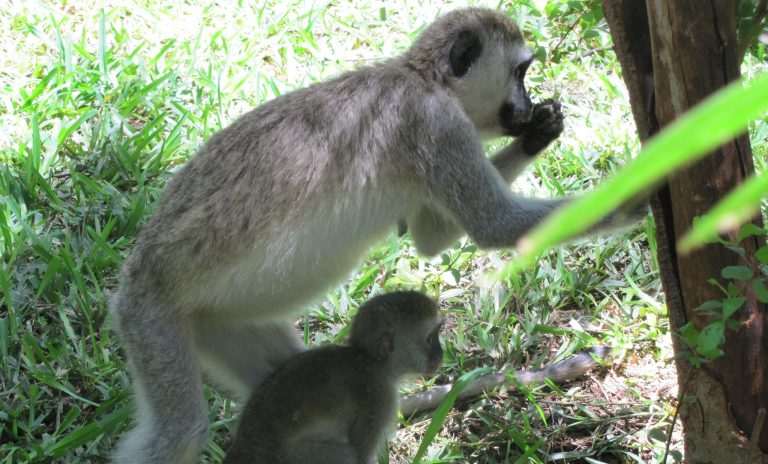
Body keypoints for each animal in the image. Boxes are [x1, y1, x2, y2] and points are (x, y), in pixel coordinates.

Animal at [222, 291, 443, 464]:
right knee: (347, 455)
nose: (440, 354)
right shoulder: (380, 398)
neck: (370, 361)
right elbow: (361, 453)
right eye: (430, 339)